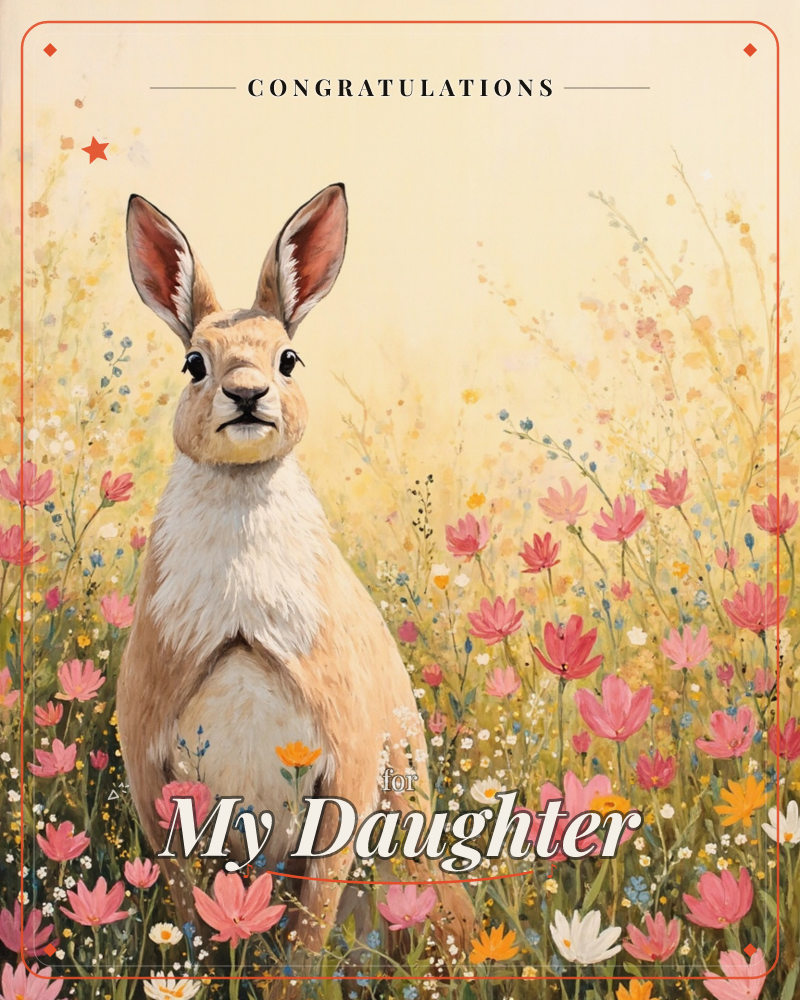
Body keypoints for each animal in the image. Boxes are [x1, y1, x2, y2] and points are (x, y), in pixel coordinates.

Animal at [116, 185, 474, 958]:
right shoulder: (157, 782)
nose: (248, 395)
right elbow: (191, 916)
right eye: (194, 364)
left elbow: (309, 943)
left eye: (288, 359)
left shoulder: (344, 773)